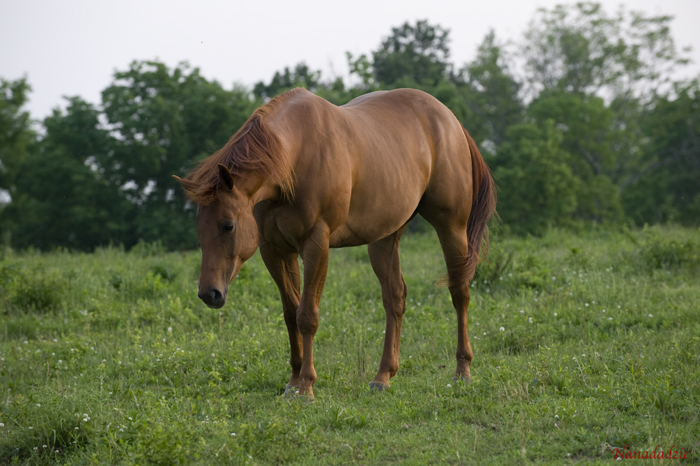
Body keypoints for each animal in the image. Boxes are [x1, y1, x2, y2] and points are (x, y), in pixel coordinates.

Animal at [174, 87, 496, 398]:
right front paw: (292, 381)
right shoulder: (275, 249)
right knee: (395, 297)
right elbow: (290, 313)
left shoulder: (316, 245)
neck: (293, 158)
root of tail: (451, 120)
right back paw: (383, 377)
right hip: (384, 238)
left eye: (227, 225)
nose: (209, 294)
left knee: (459, 293)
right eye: (199, 228)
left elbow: (307, 316)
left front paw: (306, 387)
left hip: (451, 227)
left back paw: (462, 372)